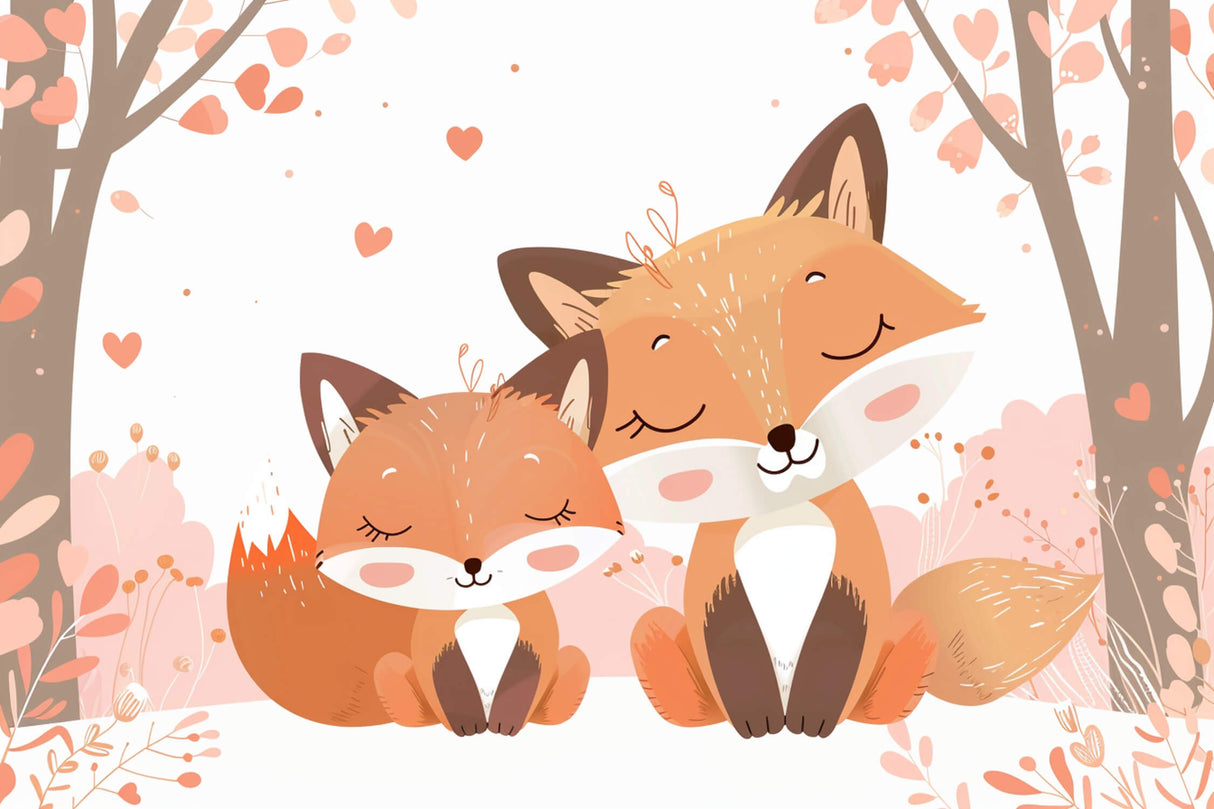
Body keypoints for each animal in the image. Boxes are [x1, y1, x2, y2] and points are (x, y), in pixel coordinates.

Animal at [227, 336, 624, 736]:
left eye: (547, 508)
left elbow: (523, 678)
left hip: (574, 663)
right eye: (385, 525)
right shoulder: (435, 649)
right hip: (391, 672)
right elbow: (449, 680)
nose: (472, 565)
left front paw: (504, 723)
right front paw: (469, 724)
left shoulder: (536, 642)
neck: (481, 610)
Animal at [496, 104, 1101, 738]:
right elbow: (737, 654)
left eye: (852, 338)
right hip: (654, 633)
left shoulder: (853, 584)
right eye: (673, 409)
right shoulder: (717, 593)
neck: (786, 516)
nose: (782, 437)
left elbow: (833, 651)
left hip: (912, 636)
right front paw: (760, 720)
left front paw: (811, 719)